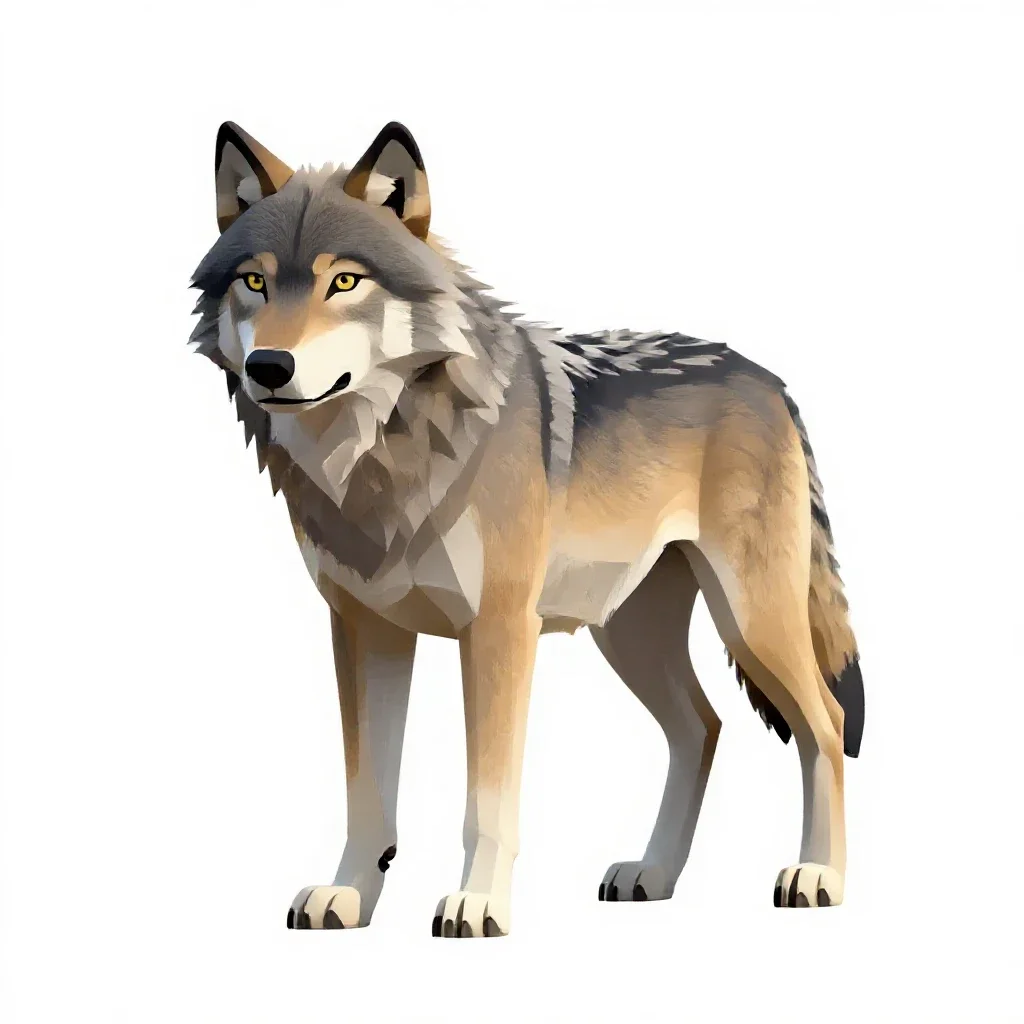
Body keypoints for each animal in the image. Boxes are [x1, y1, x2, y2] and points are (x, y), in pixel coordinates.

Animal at [190, 121, 865, 937]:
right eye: (254, 283)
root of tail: (768, 378)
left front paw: (478, 903)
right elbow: (367, 792)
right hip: (629, 634)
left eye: (344, 283)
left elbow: (487, 804)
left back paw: (818, 875)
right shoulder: (364, 630)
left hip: (750, 618)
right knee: (701, 726)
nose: (269, 365)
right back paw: (654, 874)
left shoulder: (499, 630)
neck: (382, 457)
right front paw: (348, 893)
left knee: (825, 722)